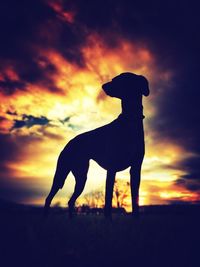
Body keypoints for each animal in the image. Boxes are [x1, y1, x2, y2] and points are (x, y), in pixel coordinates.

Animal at [44, 73, 149, 218]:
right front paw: (108, 221)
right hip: (62, 174)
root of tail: (68, 143)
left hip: (81, 176)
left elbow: (135, 200)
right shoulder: (111, 169)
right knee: (49, 198)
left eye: (120, 79)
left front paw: (136, 220)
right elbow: (108, 201)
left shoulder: (136, 169)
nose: (103, 86)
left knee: (71, 201)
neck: (130, 121)